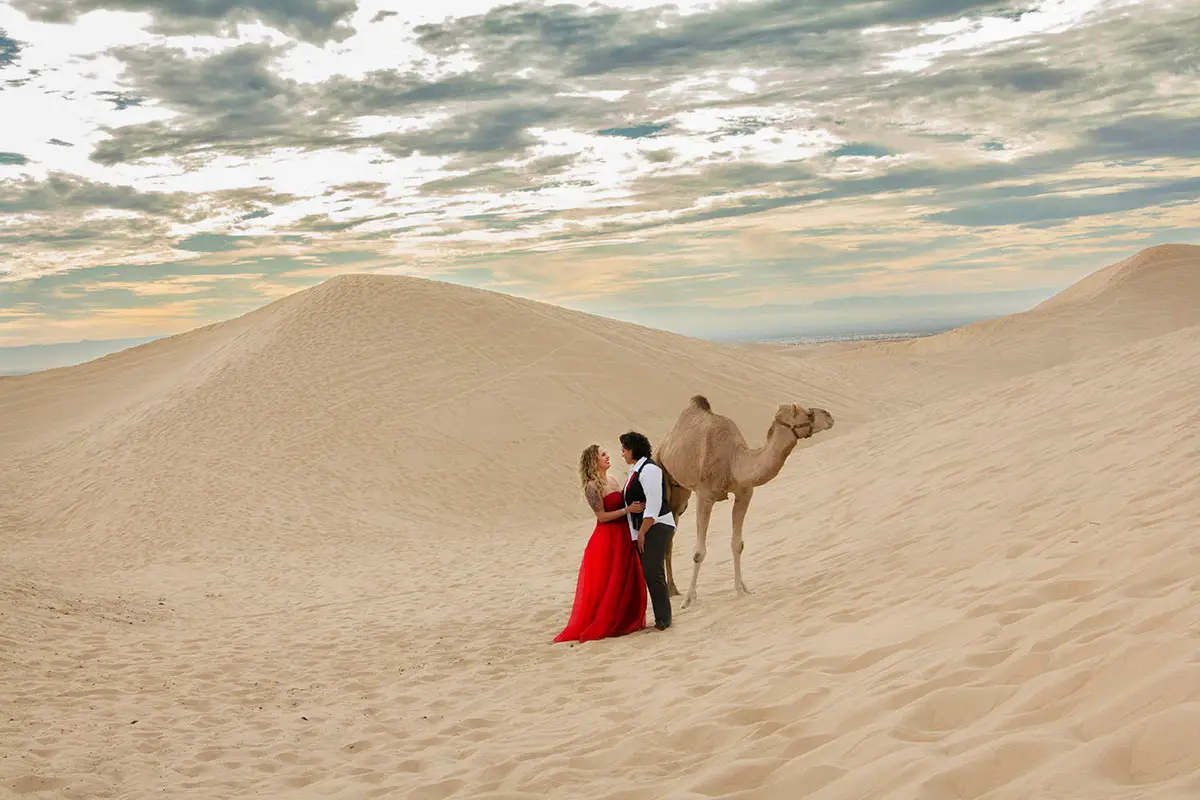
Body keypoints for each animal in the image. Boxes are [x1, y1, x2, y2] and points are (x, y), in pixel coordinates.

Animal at [656, 394, 834, 609]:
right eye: (807, 413)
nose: (829, 415)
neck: (733, 462)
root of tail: (663, 443)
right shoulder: (705, 496)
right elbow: (699, 552)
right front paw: (689, 600)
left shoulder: (744, 493)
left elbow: (737, 544)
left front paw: (742, 589)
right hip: (661, 473)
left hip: (680, 494)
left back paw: (673, 590)